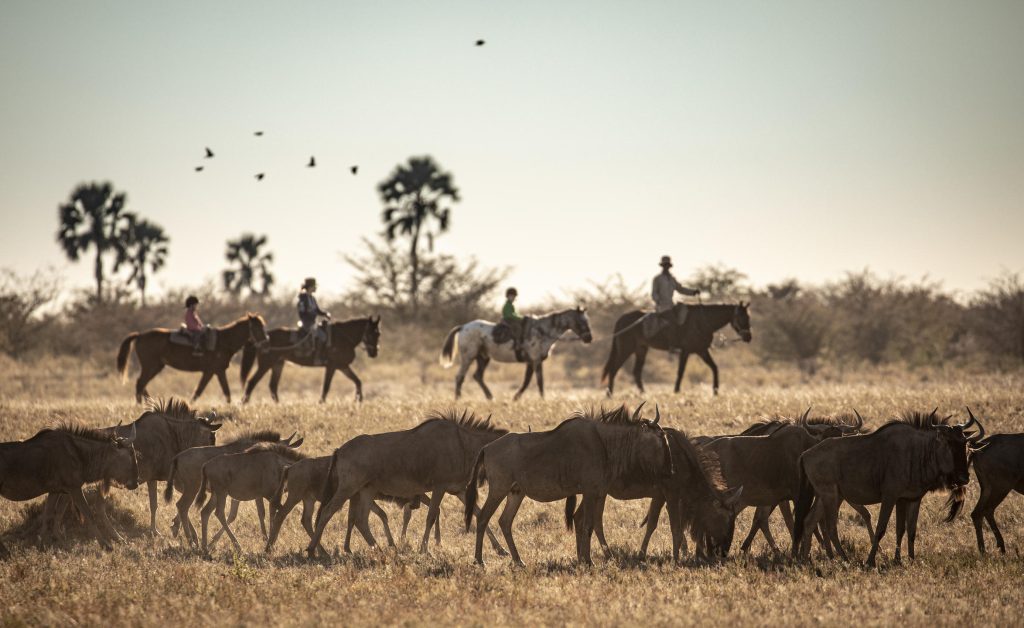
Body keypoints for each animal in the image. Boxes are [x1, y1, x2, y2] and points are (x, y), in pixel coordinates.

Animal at [116, 311, 268, 401]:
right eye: (257, 327)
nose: (266, 342)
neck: (223, 340)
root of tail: (140, 335)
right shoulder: (215, 370)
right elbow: (219, 391)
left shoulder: (213, 371)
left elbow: (205, 391)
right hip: (150, 366)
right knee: (140, 383)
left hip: (157, 366)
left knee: (142, 384)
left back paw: (150, 403)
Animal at [238, 315, 380, 403]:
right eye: (371, 333)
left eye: (379, 333)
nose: (374, 353)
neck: (343, 337)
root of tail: (262, 339)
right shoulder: (332, 366)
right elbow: (326, 387)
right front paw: (321, 402)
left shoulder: (343, 366)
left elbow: (357, 381)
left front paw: (358, 400)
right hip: (265, 364)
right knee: (252, 382)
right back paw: (244, 403)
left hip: (278, 364)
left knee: (272, 386)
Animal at [434, 305, 593, 399]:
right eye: (581, 322)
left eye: (587, 320)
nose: (589, 338)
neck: (542, 331)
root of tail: (463, 327)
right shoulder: (535, 360)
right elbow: (539, 381)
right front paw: (542, 399)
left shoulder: (532, 362)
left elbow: (527, 381)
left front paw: (516, 398)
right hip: (468, 357)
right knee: (460, 377)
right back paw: (458, 398)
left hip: (483, 358)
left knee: (477, 376)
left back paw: (490, 397)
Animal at [598, 303, 753, 397]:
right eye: (741, 317)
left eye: (748, 317)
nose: (748, 337)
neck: (702, 321)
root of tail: (621, 319)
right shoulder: (686, 351)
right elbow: (681, 371)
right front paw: (676, 391)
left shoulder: (702, 350)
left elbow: (714, 368)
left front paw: (715, 391)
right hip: (626, 349)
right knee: (614, 369)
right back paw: (609, 394)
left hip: (641, 349)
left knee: (636, 372)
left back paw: (643, 394)